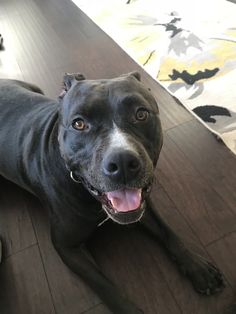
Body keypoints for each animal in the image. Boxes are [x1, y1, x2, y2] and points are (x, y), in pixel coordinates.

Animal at [0, 73, 224, 312]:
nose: (123, 162)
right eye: (79, 124)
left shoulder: (143, 207)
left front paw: (198, 267)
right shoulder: (67, 246)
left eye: (141, 114)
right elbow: (105, 286)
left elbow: (168, 232)